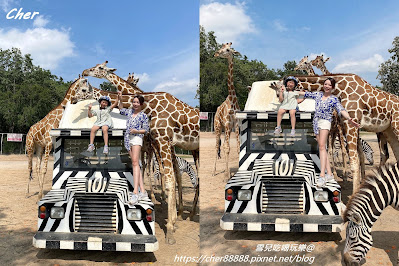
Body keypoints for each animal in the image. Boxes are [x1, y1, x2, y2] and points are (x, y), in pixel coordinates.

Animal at [82, 63, 200, 244]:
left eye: (100, 67)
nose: (84, 71)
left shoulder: (160, 143)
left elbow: (167, 176)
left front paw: (171, 226)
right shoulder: (157, 145)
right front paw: (173, 215)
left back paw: (190, 212)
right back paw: (189, 212)